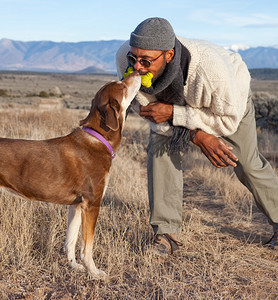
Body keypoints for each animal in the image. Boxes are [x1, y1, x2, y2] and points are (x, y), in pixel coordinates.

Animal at [0, 72, 141, 278]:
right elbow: (87, 247)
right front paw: (94, 271)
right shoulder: (92, 204)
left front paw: (74, 266)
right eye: (122, 86)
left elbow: (71, 241)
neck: (97, 138)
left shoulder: (76, 205)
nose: (138, 71)